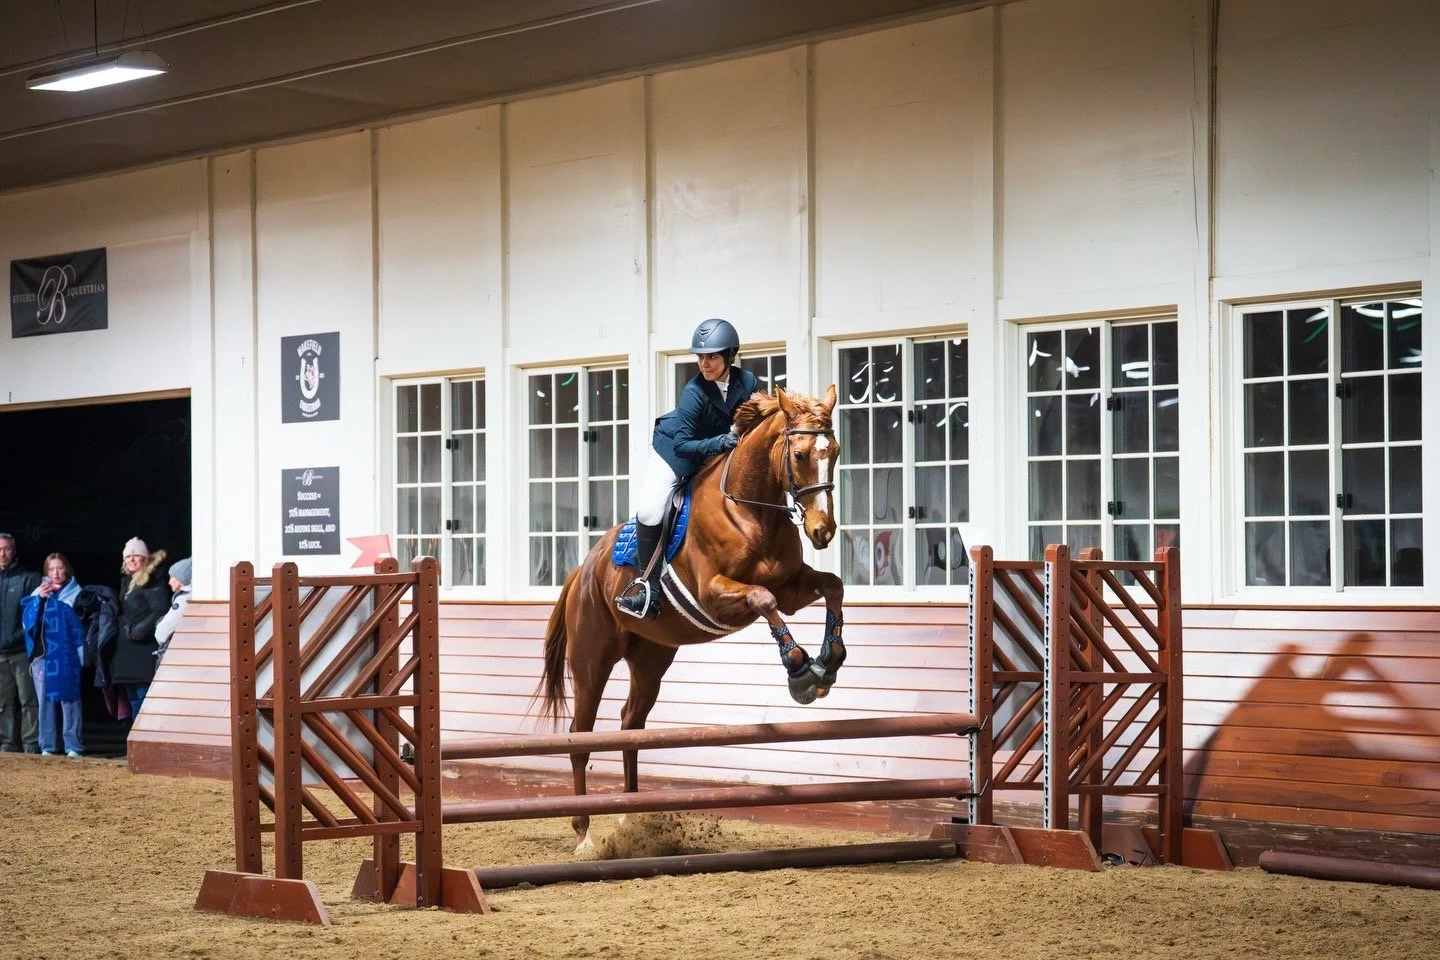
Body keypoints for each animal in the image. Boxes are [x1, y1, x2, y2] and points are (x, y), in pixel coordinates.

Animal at [537, 385, 847, 852]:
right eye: (799, 455)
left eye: (837, 452)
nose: (822, 531)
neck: (752, 509)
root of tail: (583, 569)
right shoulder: (714, 593)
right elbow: (764, 598)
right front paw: (800, 670)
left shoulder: (793, 589)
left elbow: (832, 586)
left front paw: (829, 659)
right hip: (591, 659)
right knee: (581, 735)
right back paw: (585, 834)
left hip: (651, 658)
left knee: (630, 726)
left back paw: (632, 821)